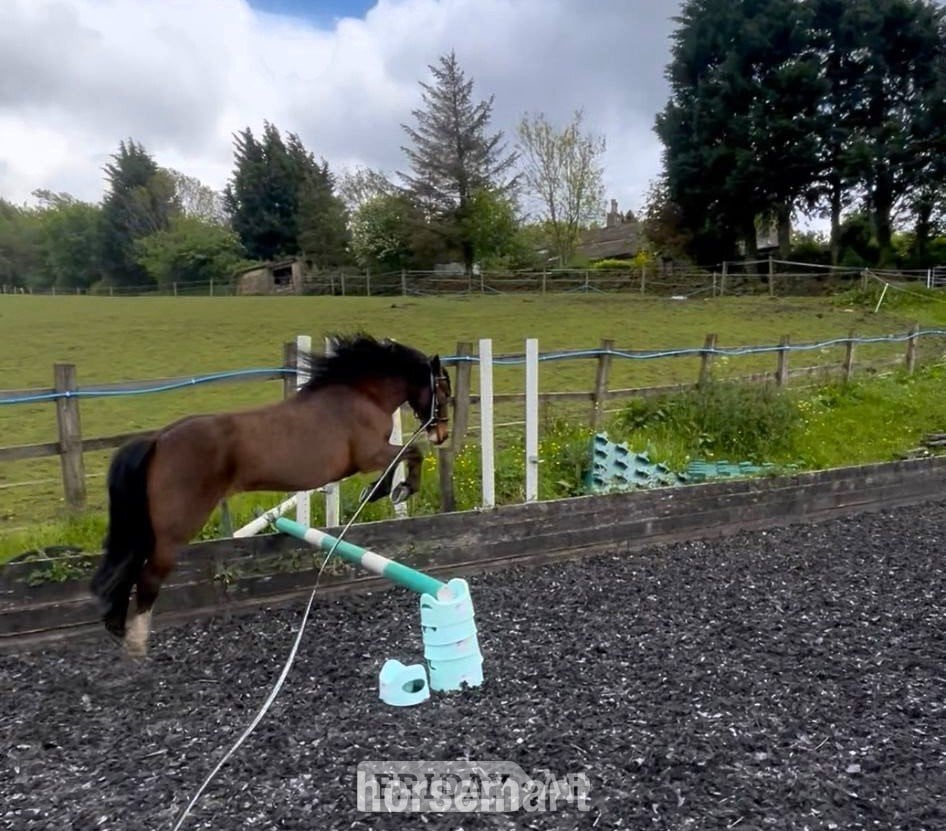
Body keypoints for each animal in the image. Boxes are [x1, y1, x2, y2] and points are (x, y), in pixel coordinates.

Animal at [88, 333, 452, 657]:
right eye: (443, 390)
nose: (442, 433)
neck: (360, 395)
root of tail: (159, 440)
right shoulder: (369, 454)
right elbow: (410, 453)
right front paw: (396, 490)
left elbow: (399, 459)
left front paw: (380, 491)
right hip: (174, 530)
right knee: (148, 577)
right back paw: (137, 647)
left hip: (148, 528)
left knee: (127, 569)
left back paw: (118, 629)